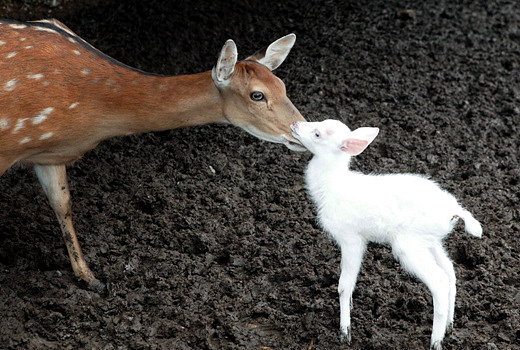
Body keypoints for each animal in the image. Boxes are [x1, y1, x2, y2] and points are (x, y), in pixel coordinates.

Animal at [0, 18, 306, 290]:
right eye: (257, 95)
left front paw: (90, 279)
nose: (303, 131)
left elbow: (62, 204)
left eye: (283, 86)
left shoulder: (49, 155)